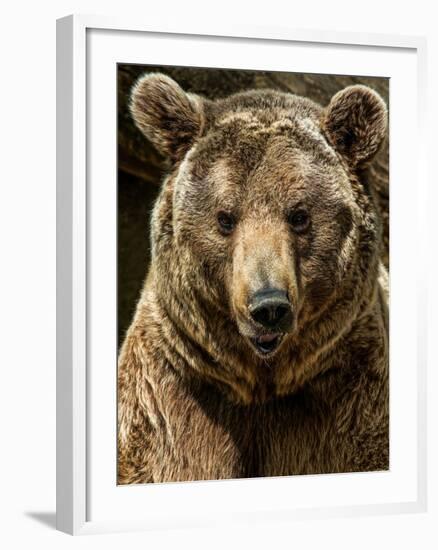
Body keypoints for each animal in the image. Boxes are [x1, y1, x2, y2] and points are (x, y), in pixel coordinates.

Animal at [116, 72, 386, 484]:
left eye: (299, 215)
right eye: (225, 217)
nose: (268, 306)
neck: (261, 382)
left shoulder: (353, 402)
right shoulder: (170, 400)